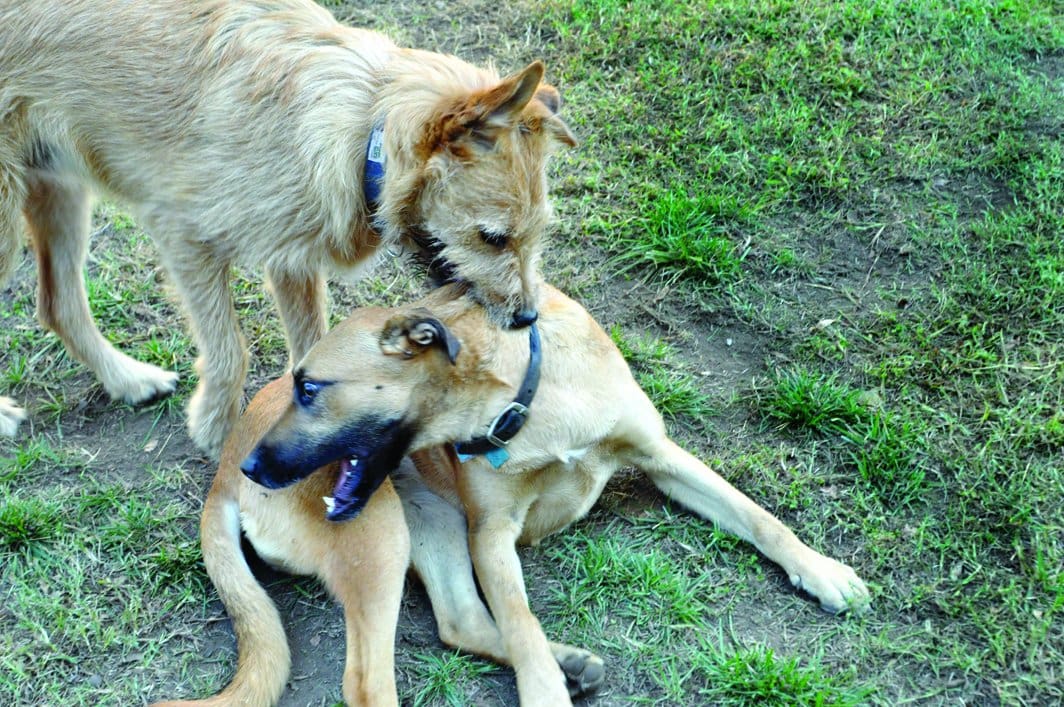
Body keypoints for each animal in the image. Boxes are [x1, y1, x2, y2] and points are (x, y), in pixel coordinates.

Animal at [0, 0, 574, 455]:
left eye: (535, 235)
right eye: (493, 237)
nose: (527, 318)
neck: (363, 132)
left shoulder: (292, 258)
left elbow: (314, 347)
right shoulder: (186, 239)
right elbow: (230, 351)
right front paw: (218, 434)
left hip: (58, 192)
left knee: (57, 303)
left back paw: (127, 379)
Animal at [195, 283, 868, 707]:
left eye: (311, 388)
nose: (256, 466)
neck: (527, 399)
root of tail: (220, 480)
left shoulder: (662, 456)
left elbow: (760, 518)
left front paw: (823, 571)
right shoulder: (492, 536)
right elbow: (520, 624)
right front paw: (542, 689)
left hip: (429, 526)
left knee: (461, 622)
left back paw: (569, 661)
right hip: (381, 537)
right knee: (369, 683)